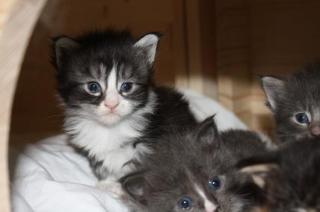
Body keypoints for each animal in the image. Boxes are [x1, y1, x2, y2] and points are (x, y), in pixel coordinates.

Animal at [52, 30, 198, 189]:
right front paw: (107, 182)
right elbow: (101, 165)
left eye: (127, 86)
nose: (112, 104)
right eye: (93, 87)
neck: (109, 130)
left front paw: (123, 188)